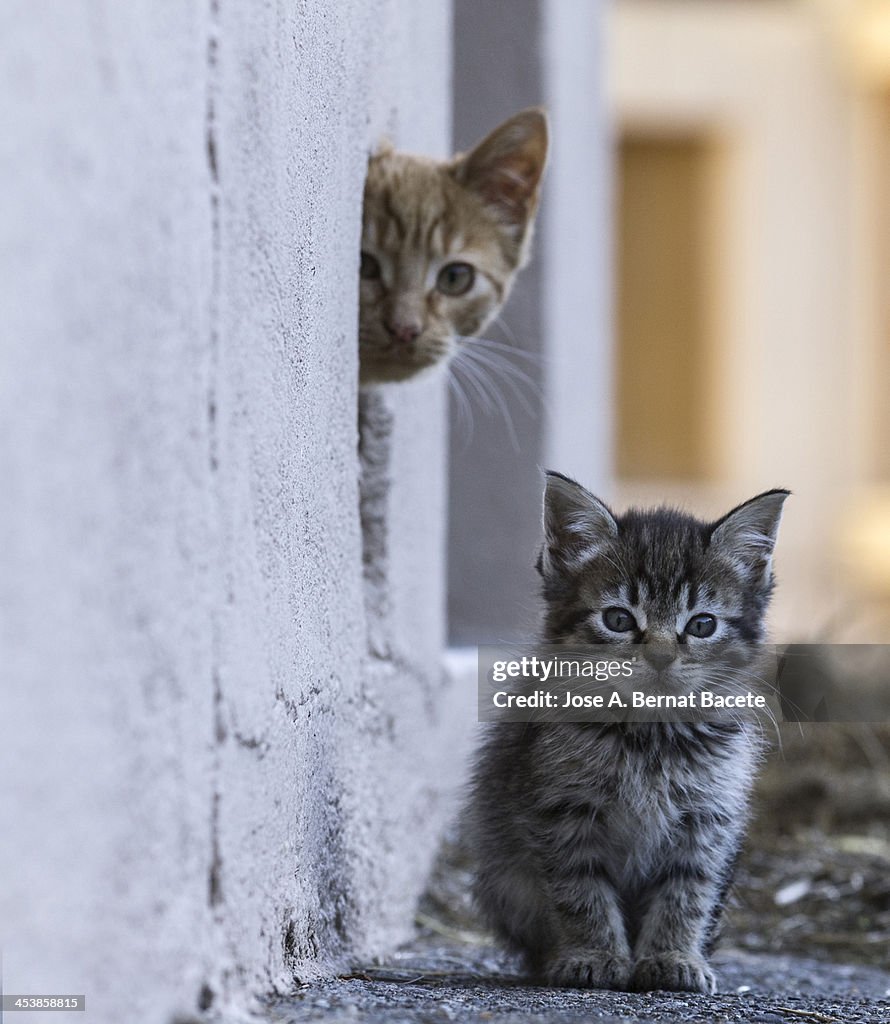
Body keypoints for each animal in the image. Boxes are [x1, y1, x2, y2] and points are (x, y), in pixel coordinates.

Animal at [469, 471, 786, 991]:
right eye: (618, 619)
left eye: (702, 625)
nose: (659, 657)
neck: (649, 736)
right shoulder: (561, 809)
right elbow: (580, 889)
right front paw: (593, 954)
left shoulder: (710, 816)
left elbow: (688, 890)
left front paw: (674, 957)